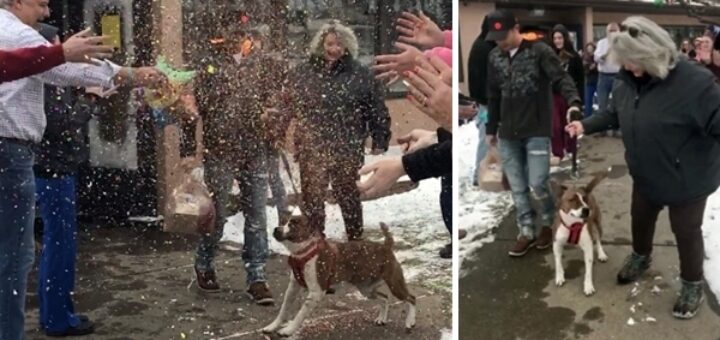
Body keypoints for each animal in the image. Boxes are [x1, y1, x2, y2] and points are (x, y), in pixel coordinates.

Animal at [262, 214, 416, 336]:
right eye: (283, 222)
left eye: (293, 224)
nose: (276, 229)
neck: (304, 253)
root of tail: (386, 246)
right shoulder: (292, 288)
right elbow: (283, 310)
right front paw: (272, 326)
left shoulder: (316, 292)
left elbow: (300, 314)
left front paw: (289, 330)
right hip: (366, 288)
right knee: (384, 298)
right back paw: (382, 319)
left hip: (394, 283)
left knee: (411, 298)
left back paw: (410, 322)